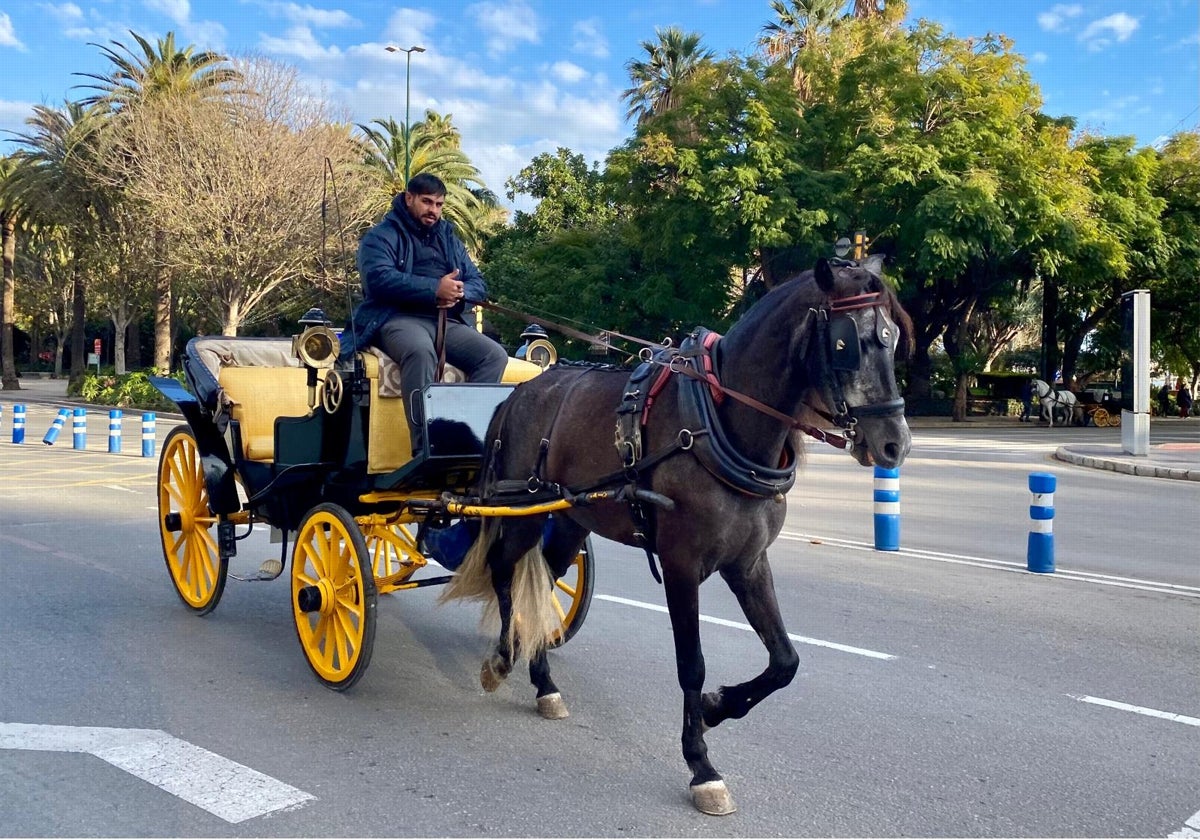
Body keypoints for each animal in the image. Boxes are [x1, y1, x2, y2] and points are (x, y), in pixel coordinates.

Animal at [446, 254, 912, 816]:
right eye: (847, 343)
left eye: (892, 337)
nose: (895, 444)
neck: (721, 424)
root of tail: (521, 391)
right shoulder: (681, 565)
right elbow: (692, 664)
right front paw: (701, 764)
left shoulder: (748, 562)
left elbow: (785, 660)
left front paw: (717, 707)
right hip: (524, 509)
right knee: (503, 569)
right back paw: (501, 659)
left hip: (570, 521)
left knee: (542, 584)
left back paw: (543, 683)